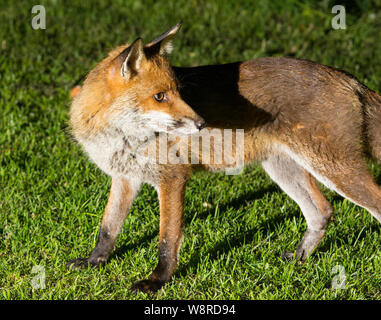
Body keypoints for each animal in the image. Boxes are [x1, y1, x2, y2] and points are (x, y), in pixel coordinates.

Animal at [67, 22, 380, 292]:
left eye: (179, 92)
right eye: (159, 96)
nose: (202, 123)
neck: (120, 136)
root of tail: (349, 79)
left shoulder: (172, 177)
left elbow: (167, 240)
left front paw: (157, 281)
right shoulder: (125, 177)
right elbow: (107, 229)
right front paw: (94, 261)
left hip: (334, 168)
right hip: (282, 168)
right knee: (322, 212)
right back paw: (300, 258)